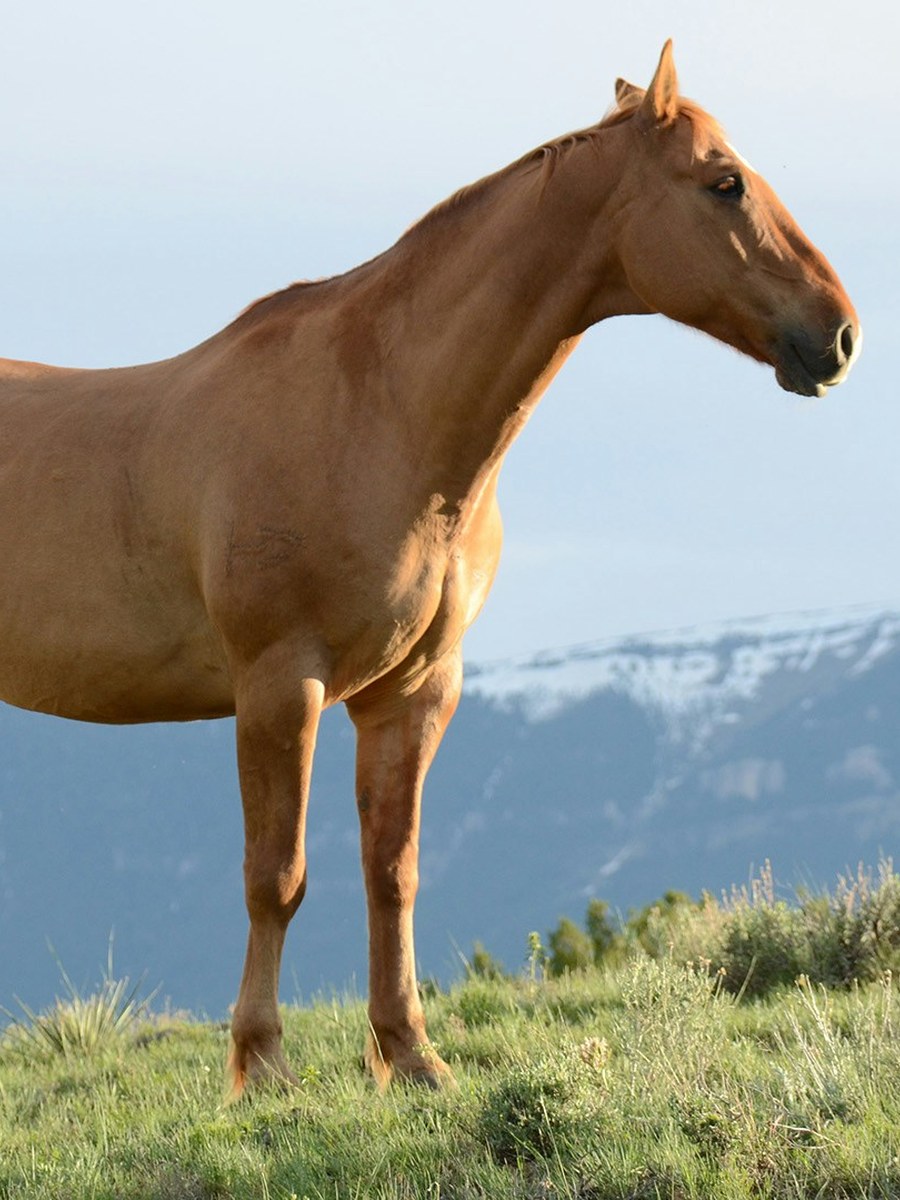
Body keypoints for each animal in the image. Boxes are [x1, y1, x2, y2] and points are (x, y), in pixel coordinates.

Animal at [0, 41, 860, 1092]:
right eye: (724, 181)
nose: (840, 335)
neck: (379, 412)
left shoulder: (412, 691)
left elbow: (392, 871)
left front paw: (410, 1056)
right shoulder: (281, 685)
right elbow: (275, 876)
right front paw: (263, 1066)